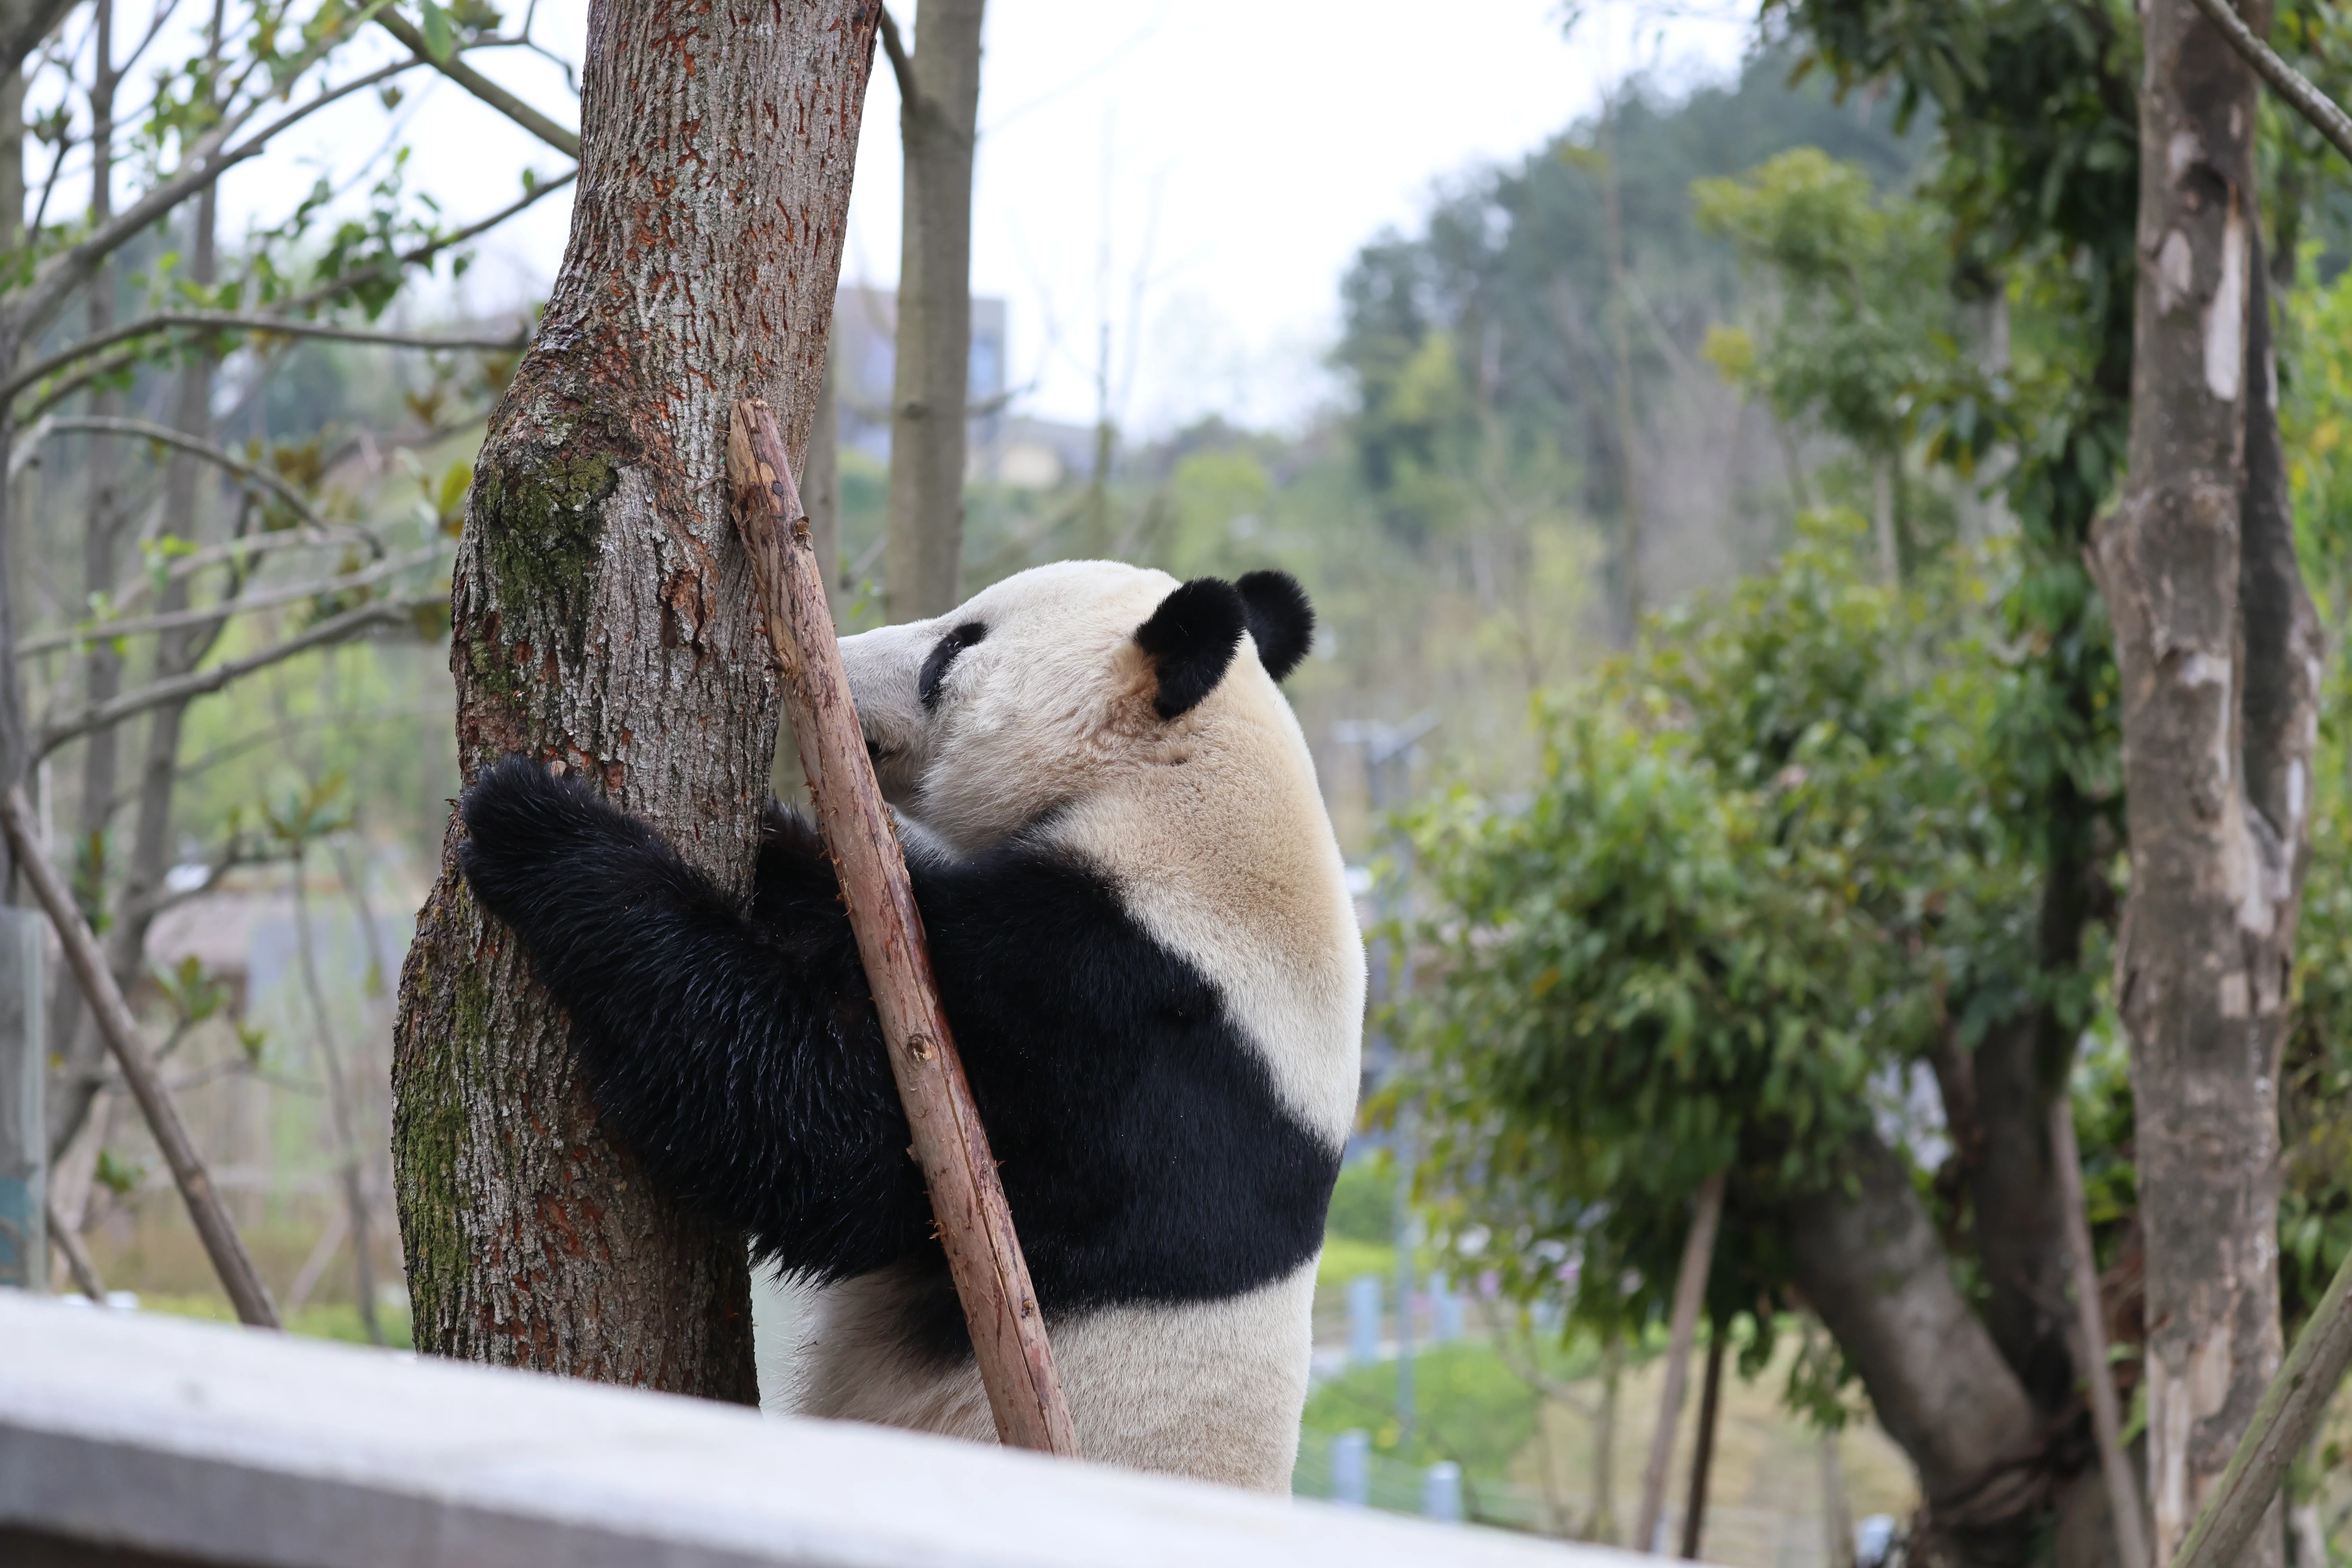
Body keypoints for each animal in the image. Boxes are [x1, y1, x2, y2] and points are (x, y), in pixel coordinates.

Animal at [455, 559, 1364, 1492]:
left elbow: (833, 1146)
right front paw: (774, 844)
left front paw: (537, 823)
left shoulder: (1119, 1026)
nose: (832, 663)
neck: (1185, 785)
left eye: (956, 646)